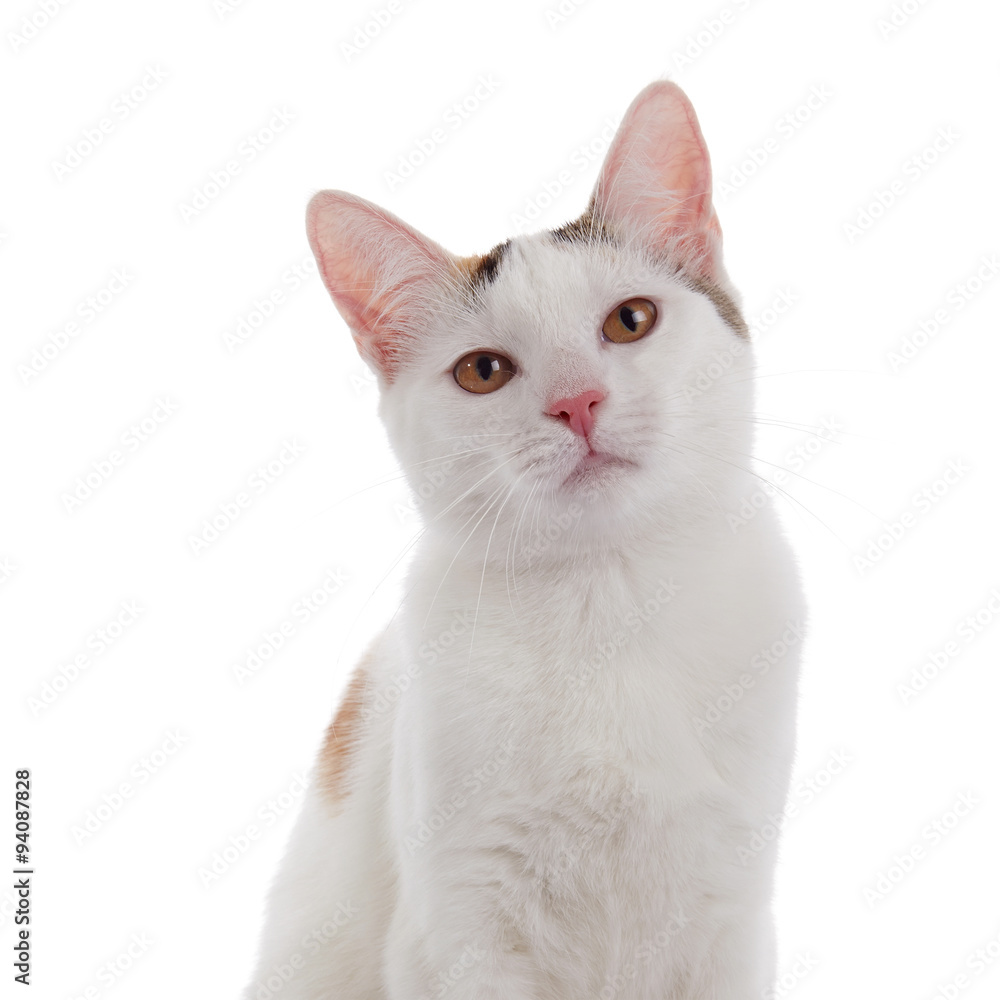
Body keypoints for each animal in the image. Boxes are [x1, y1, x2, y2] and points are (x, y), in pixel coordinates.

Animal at [246, 80, 808, 1000]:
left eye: (631, 320)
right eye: (484, 372)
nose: (576, 402)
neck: (603, 598)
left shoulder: (733, 916)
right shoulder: (459, 932)